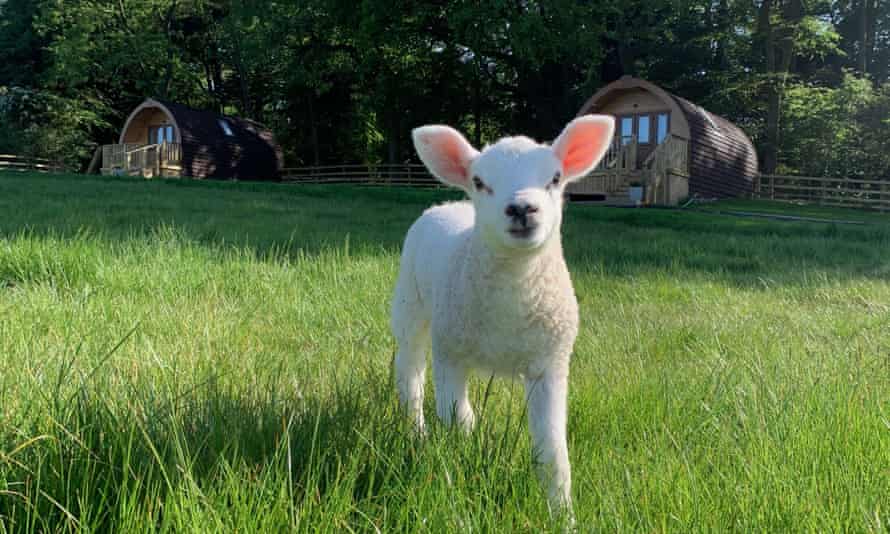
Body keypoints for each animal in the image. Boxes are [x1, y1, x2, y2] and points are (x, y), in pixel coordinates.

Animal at [392, 116, 612, 516]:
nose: (522, 209)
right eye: (480, 181)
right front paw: (458, 480)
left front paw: (563, 515)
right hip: (410, 306)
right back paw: (416, 431)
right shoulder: (450, 354)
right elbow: (457, 420)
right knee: (410, 372)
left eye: (555, 177)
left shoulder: (551, 363)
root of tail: (447, 202)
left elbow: (553, 454)